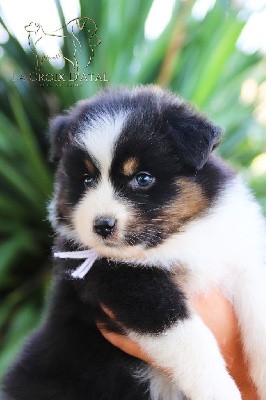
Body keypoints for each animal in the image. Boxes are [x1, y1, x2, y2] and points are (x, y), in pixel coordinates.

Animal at [2, 86, 266, 398]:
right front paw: (217, 389)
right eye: (87, 179)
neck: (173, 238)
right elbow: (186, 336)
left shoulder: (239, 255)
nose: (102, 225)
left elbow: (258, 309)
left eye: (142, 178)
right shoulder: (124, 282)